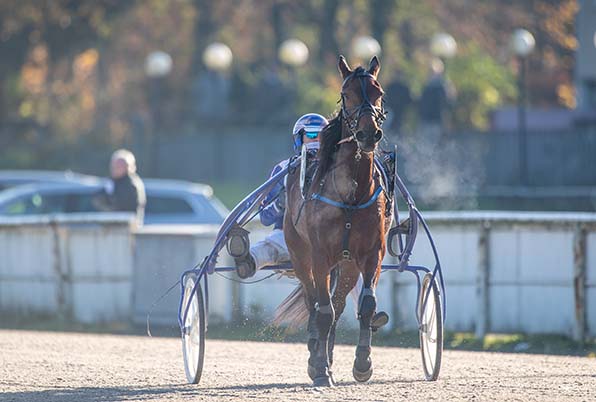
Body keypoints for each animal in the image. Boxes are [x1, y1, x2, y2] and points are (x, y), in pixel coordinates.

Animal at [276, 55, 388, 384]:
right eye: (346, 93)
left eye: (379, 92)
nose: (368, 133)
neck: (351, 194)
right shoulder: (320, 256)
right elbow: (321, 310)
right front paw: (319, 369)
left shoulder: (372, 253)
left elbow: (366, 305)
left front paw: (363, 363)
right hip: (300, 255)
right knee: (315, 303)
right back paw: (317, 359)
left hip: (347, 264)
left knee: (336, 306)